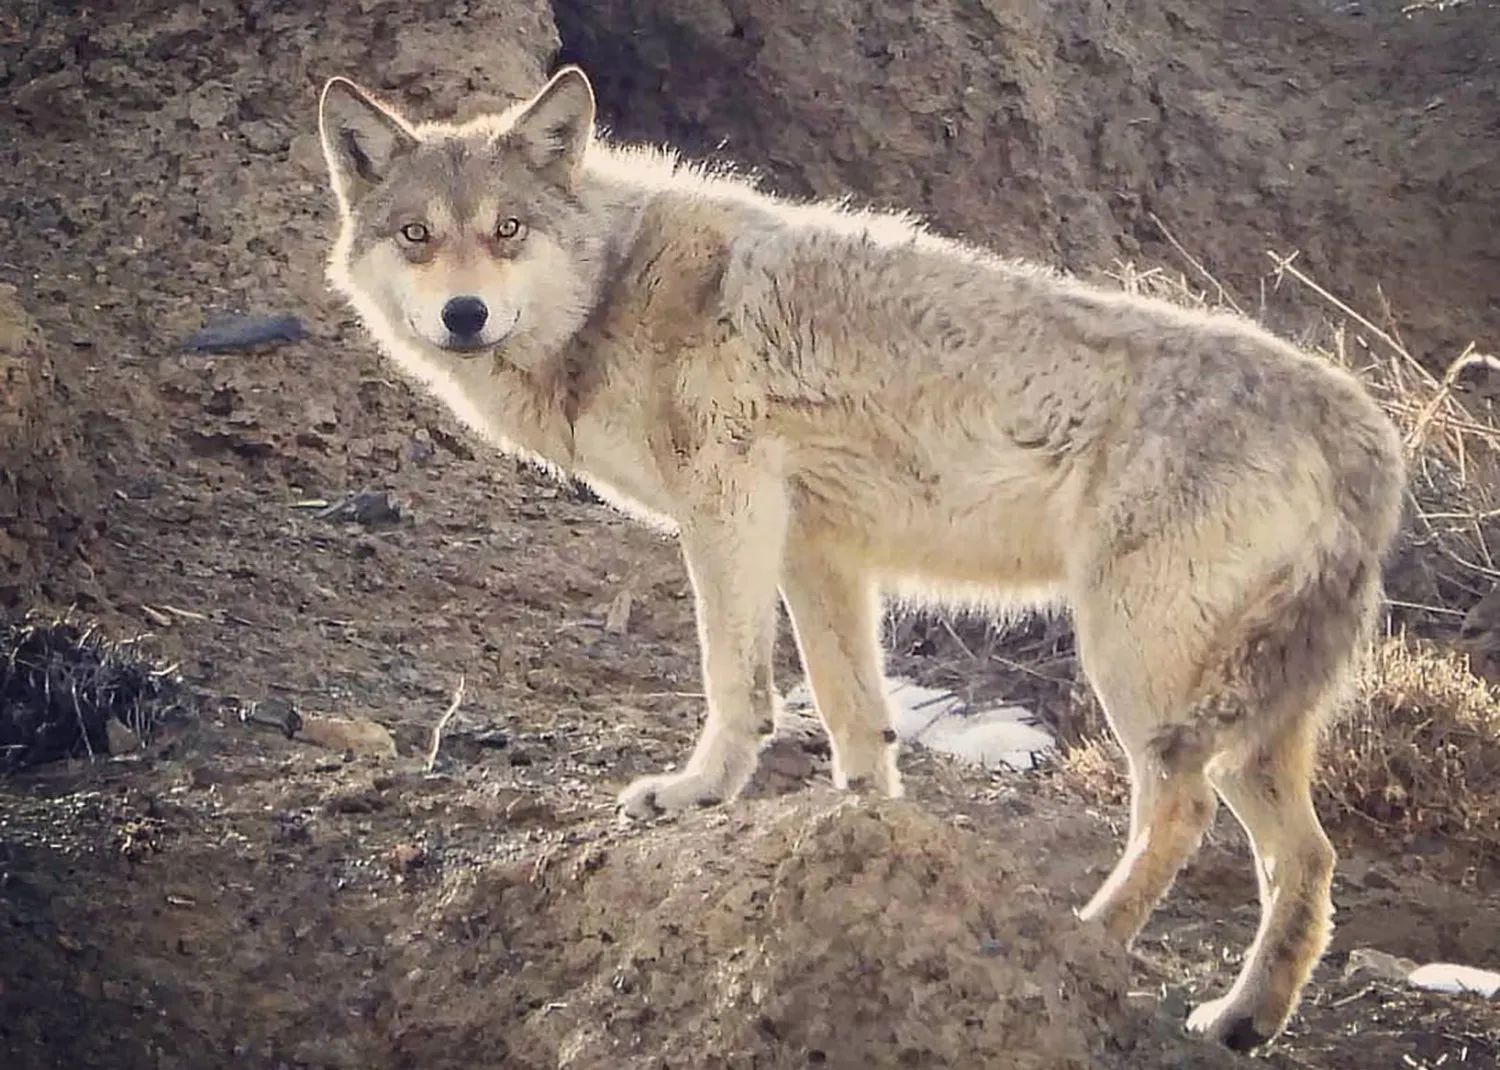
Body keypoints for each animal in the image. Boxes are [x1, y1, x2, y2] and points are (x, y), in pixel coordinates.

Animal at [316, 65, 1406, 1051]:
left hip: (1137, 670)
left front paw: (697, 792)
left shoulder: (728, 510)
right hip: (1248, 724)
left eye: (507, 230)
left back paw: (1088, 944)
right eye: (418, 234)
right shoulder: (818, 548)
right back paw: (1240, 1019)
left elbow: (736, 684)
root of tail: (1367, 426)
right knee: (1308, 859)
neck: (618, 289)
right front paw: (863, 852)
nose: (463, 314)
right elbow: (855, 719)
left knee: (1181, 813)